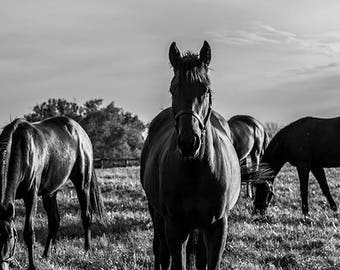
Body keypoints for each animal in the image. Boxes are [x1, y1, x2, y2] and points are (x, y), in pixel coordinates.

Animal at [0, 116, 105, 270]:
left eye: (10, 237)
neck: (20, 147)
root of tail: (79, 130)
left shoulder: (31, 196)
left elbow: (29, 233)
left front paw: (32, 266)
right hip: (50, 193)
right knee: (54, 221)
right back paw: (46, 254)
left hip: (82, 184)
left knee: (86, 217)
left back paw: (87, 250)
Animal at [141, 41, 242, 268]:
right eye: (173, 89)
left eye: (205, 89)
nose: (189, 143)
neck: (196, 169)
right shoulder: (175, 227)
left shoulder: (216, 226)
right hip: (157, 214)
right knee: (161, 253)